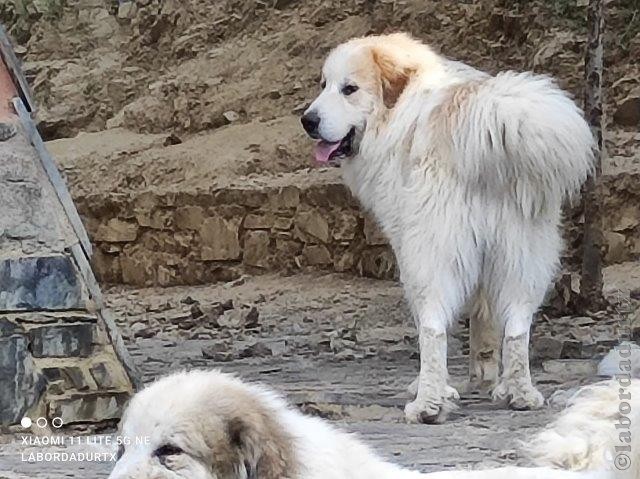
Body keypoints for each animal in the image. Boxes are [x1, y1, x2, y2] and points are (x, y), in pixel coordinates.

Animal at [300, 33, 596, 424]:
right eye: (323, 85)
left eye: (349, 89)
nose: (308, 120)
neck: (398, 110)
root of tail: (489, 121)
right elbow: (486, 323)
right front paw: (486, 379)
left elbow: (436, 328)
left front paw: (444, 388)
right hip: (523, 256)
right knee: (518, 327)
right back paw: (520, 394)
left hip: (428, 258)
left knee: (433, 327)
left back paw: (427, 404)